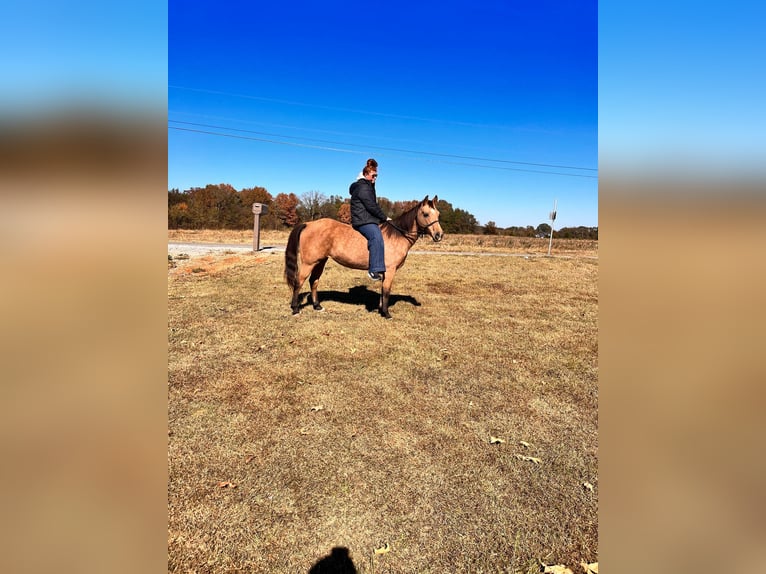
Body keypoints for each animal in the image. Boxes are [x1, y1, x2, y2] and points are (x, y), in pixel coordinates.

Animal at [286, 195, 444, 320]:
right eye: (425, 214)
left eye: (438, 214)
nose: (439, 235)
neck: (397, 235)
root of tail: (308, 224)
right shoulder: (390, 270)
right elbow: (387, 290)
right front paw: (386, 313)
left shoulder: (384, 271)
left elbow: (382, 290)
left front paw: (381, 310)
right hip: (308, 263)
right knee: (298, 282)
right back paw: (295, 308)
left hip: (320, 261)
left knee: (314, 281)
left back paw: (317, 306)